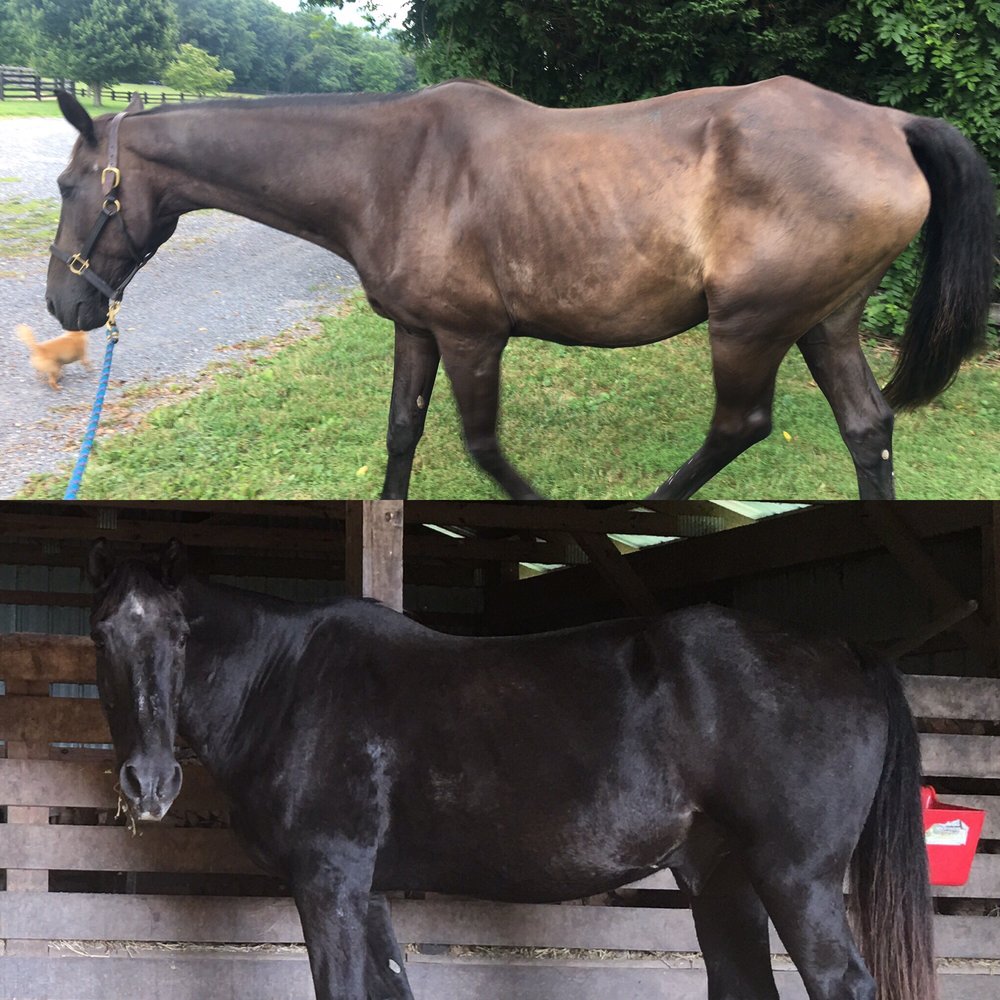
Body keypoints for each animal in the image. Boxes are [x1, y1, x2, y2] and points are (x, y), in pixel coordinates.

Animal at [46, 79, 993, 501]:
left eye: (68, 186)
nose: (66, 307)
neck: (391, 171)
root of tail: (888, 125)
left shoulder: (474, 338)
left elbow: (483, 447)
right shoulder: (417, 331)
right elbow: (402, 433)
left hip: (751, 326)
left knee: (741, 425)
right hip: (824, 321)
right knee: (867, 428)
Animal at [87, 538, 935, 1000]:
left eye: (179, 635)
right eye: (101, 635)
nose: (150, 785)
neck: (289, 681)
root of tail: (848, 653)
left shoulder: (329, 884)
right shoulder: (365, 891)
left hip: (798, 881)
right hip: (725, 882)